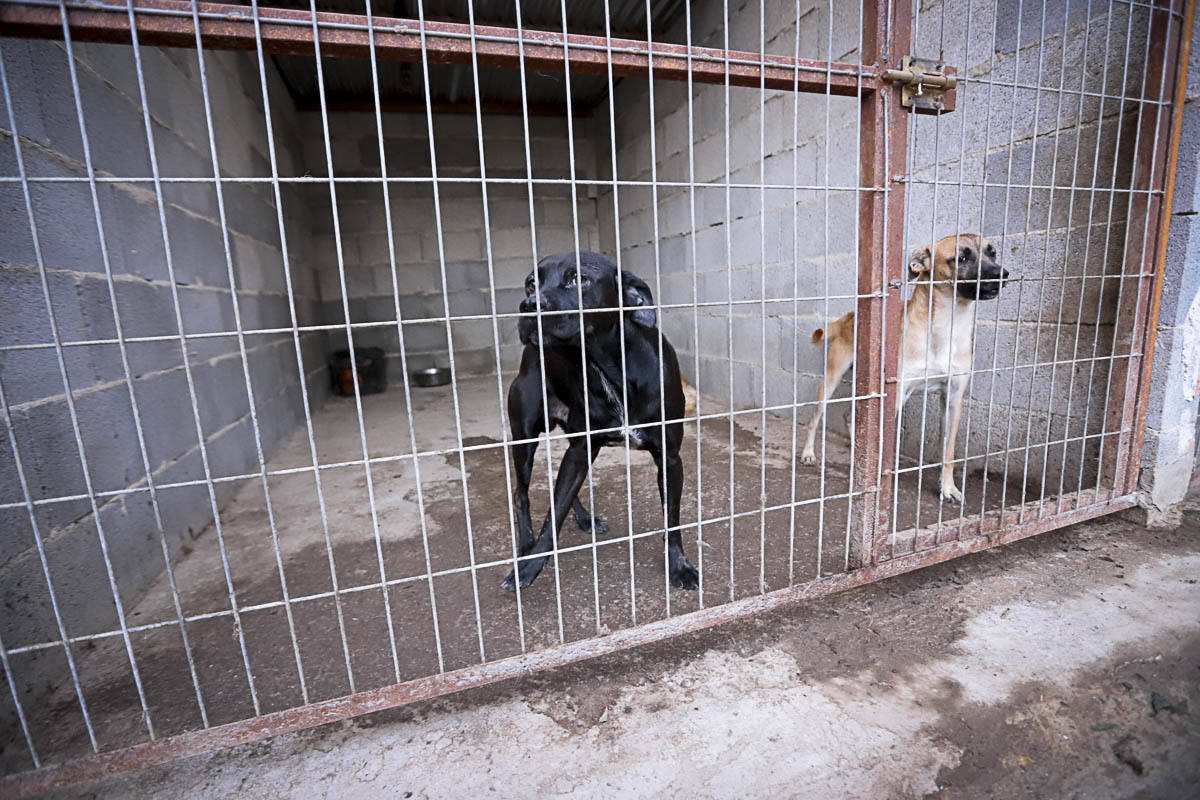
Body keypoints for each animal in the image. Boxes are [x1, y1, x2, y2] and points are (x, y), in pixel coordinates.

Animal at [501, 253, 700, 592]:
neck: (607, 366)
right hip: (526, 438)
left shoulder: (669, 458)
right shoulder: (580, 450)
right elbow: (552, 516)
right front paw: (529, 567)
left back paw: (584, 519)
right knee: (521, 493)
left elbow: (672, 519)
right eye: (531, 283)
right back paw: (526, 543)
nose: (528, 305)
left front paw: (679, 566)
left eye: (579, 279)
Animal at [801, 235, 1008, 503]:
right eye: (961, 258)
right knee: (815, 418)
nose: (1002, 274)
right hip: (831, 380)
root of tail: (851, 314)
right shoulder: (897, 392)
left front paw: (948, 488)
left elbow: (948, 451)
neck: (946, 326)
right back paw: (808, 453)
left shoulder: (953, 399)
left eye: (992, 253)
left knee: (851, 416)